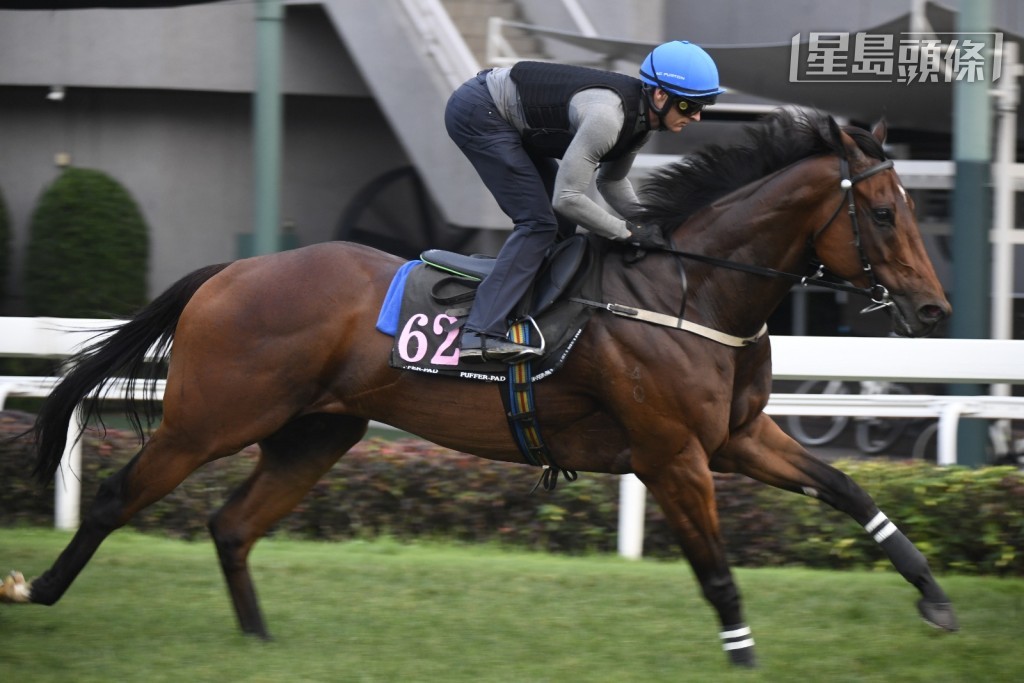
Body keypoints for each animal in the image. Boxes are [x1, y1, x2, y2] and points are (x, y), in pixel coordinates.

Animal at [1, 110, 957, 667]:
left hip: (316, 431)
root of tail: (230, 270)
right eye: (883, 213)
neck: (691, 291)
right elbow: (717, 570)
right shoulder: (671, 452)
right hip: (210, 418)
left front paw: (936, 596)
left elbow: (848, 489)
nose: (935, 306)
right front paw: (745, 654)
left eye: (913, 207)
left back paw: (261, 642)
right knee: (117, 496)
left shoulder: (736, 437)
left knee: (232, 524)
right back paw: (35, 591)